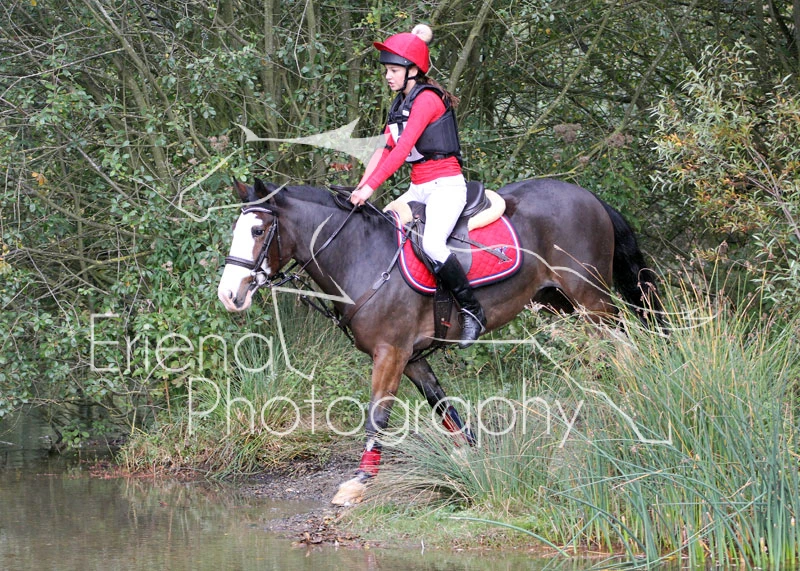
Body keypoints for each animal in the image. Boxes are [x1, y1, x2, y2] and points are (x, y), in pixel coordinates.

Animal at [217, 177, 662, 505]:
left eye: (258, 230)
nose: (229, 295)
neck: (361, 254)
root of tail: (588, 196)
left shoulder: (390, 353)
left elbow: (377, 414)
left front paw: (359, 481)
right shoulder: (412, 357)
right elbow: (442, 405)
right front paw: (473, 459)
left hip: (591, 300)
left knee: (625, 350)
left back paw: (632, 411)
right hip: (560, 305)